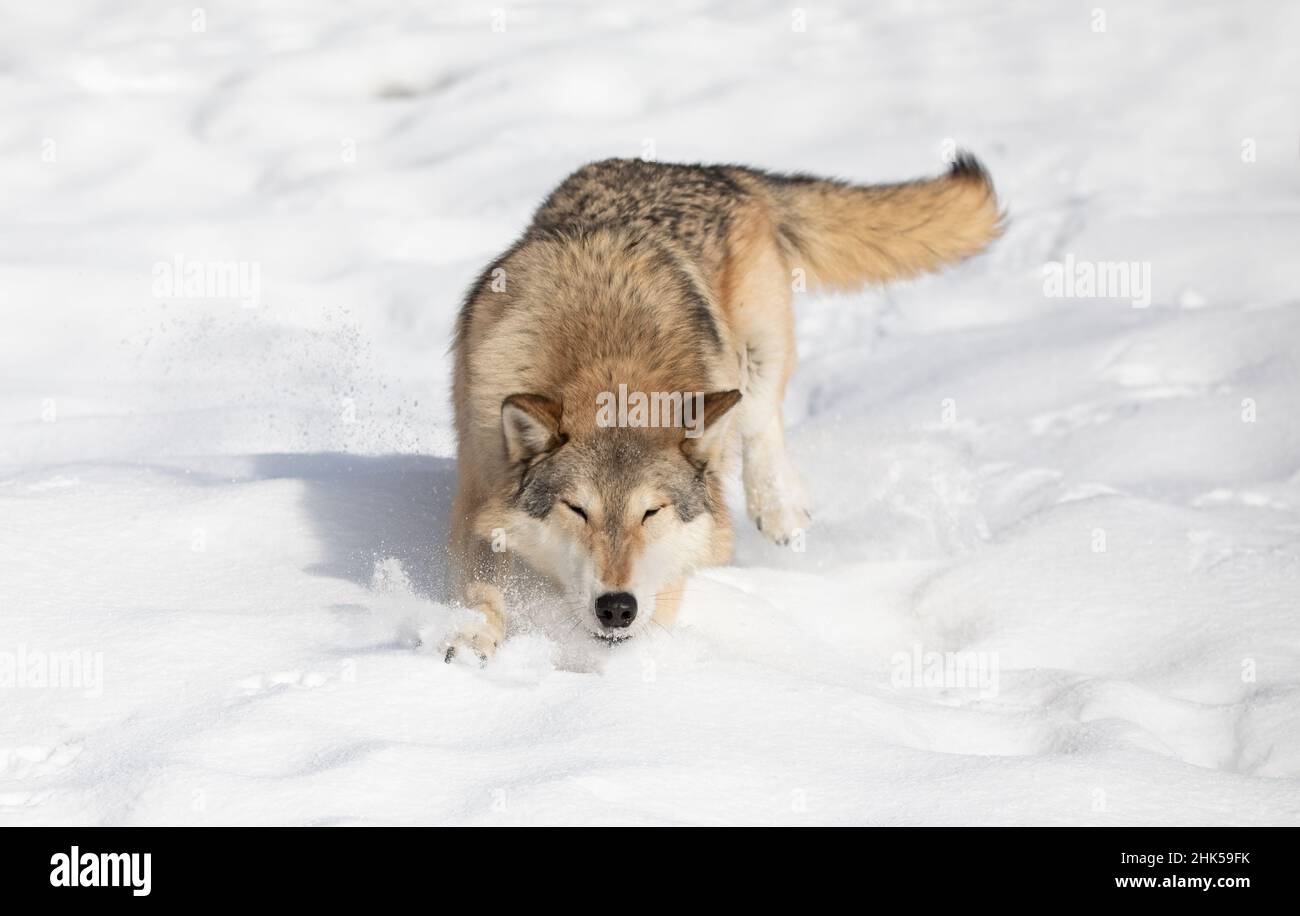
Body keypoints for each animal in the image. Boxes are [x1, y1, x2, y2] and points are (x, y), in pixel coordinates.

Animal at [445, 153, 1001, 661]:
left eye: (652, 512)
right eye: (577, 510)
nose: (616, 608)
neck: (605, 360)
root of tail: (713, 170)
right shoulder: (481, 487)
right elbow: (483, 584)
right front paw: (473, 640)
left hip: (754, 354)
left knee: (761, 419)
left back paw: (780, 508)